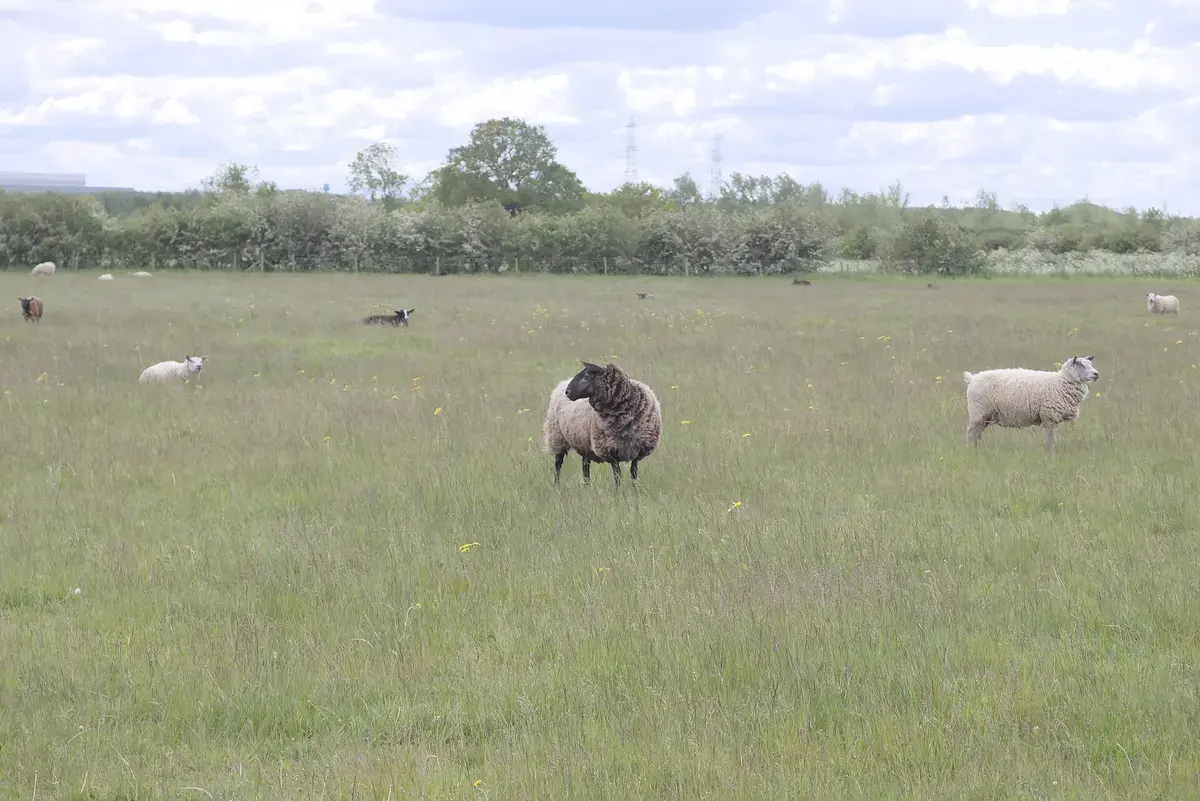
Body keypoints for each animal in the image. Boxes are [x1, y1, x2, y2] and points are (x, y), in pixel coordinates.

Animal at [963, 355, 1100, 451]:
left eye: (1090, 364)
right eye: (1081, 365)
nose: (1096, 374)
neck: (1060, 382)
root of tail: (972, 378)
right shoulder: (1049, 417)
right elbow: (1051, 441)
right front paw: (1050, 455)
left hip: (985, 416)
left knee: (977, 435)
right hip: (978, 413)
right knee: (971, 434)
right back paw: (971, 451)